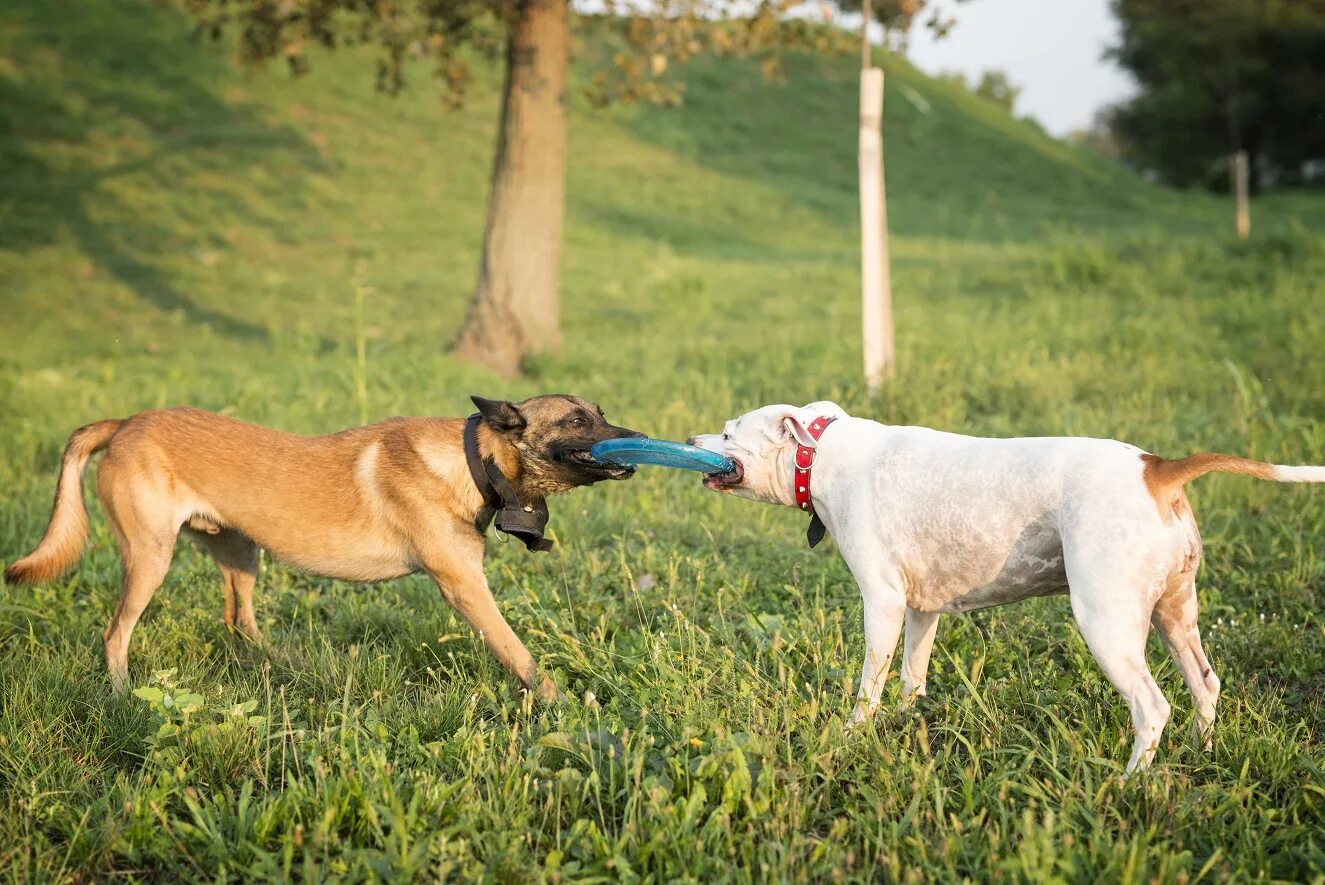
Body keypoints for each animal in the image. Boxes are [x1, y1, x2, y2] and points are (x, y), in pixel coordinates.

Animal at [1, 394, 641, 699]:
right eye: (576, 419)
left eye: (602, 412)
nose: (638, 438)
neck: (472, 459)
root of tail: (126, 421)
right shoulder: (465, 588)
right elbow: (519, 654)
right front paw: (566, 705)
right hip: (150, 558)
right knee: (115, 635)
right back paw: (123, 698)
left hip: (242, 554)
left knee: (240, 621)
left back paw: (290, 665)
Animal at [694, 402, 1325, 773]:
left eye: (726, 432)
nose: (690, 438)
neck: (819, 453)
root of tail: (1158, 469)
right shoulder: (921, 609)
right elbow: (912, 676)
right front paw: (906, 722)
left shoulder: (883, 602)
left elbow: (869, 683)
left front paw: (853, 736)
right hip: (1174, 614)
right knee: (1205, 684)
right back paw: (1204, 754)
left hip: (1106, 622)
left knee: (1152, 706)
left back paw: (1130, 784)